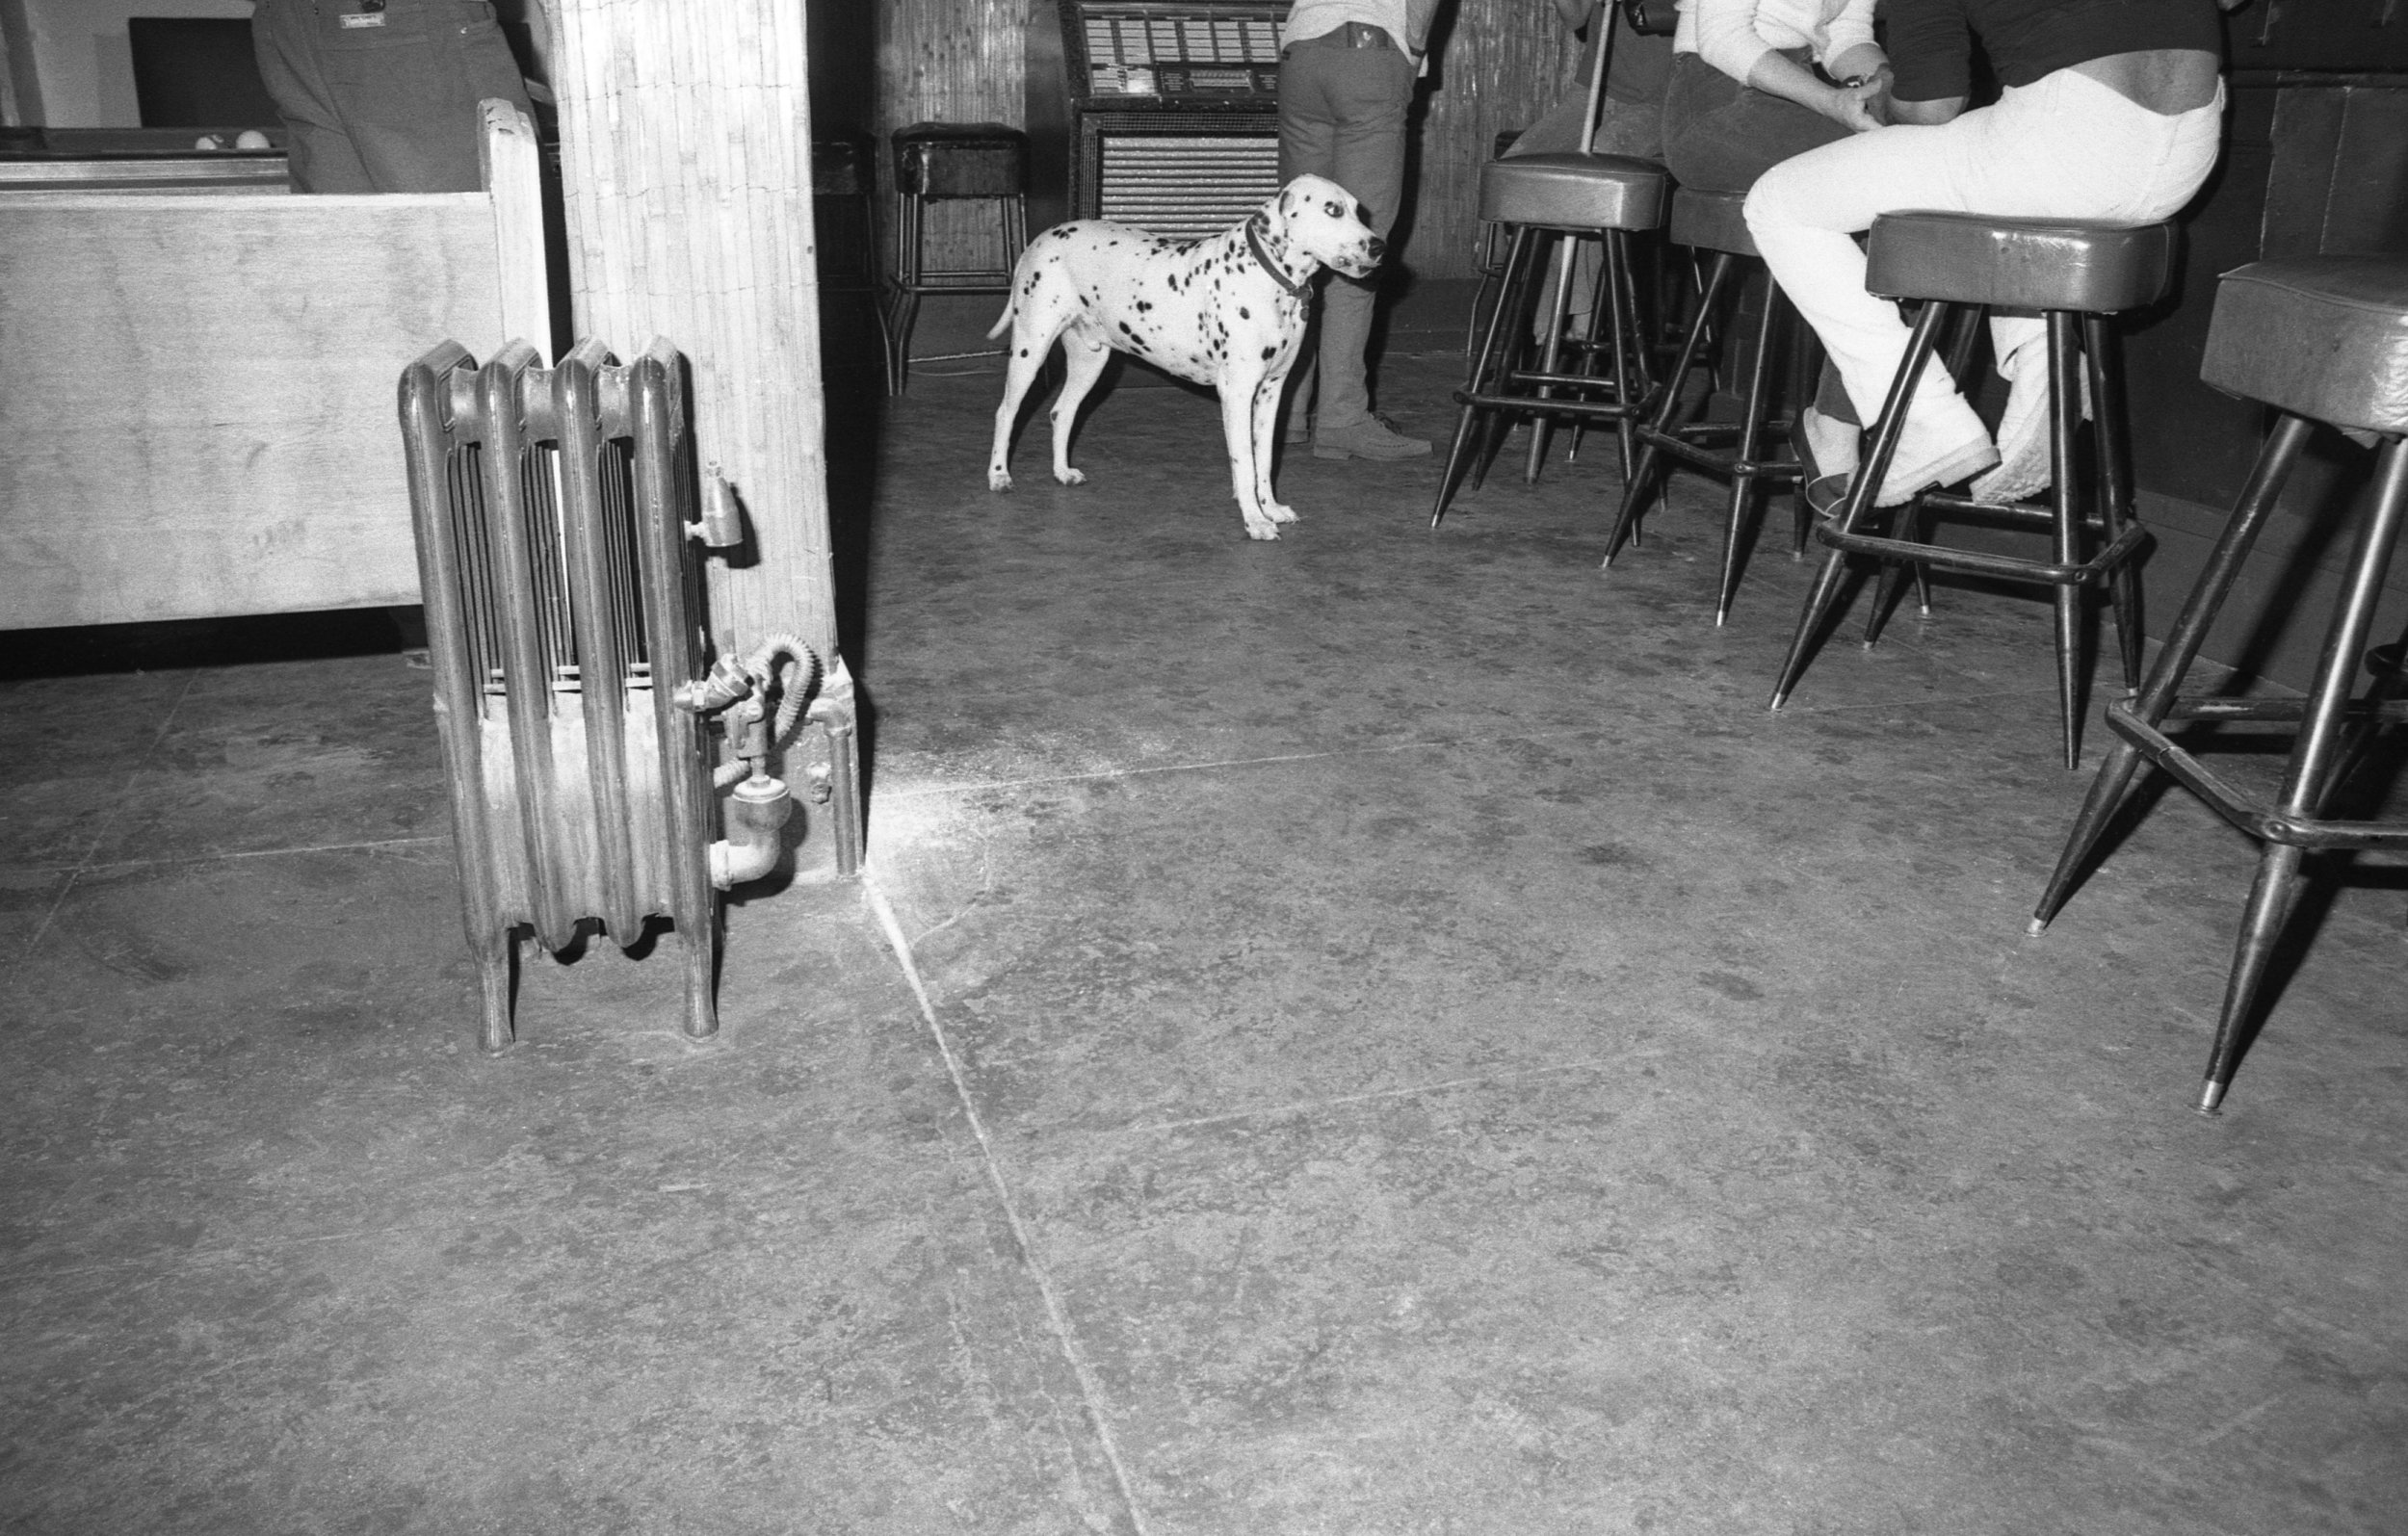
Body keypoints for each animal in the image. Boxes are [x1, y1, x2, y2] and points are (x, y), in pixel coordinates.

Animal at [982, 175, 1397, 541]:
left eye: (1359, 211)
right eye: (1332, 209)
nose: (1379, 247)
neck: (1268, 278)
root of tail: (1040, 239)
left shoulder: (1271, 393)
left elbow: (1264, 460)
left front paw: (1271, 508)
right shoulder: (1237, 395)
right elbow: (1245, 464)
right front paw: (1255, 521)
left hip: (1090, 362)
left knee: (1061, 412)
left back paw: (1062, 471)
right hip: (1029, 351)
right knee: (1005, 412)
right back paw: (999, 475)